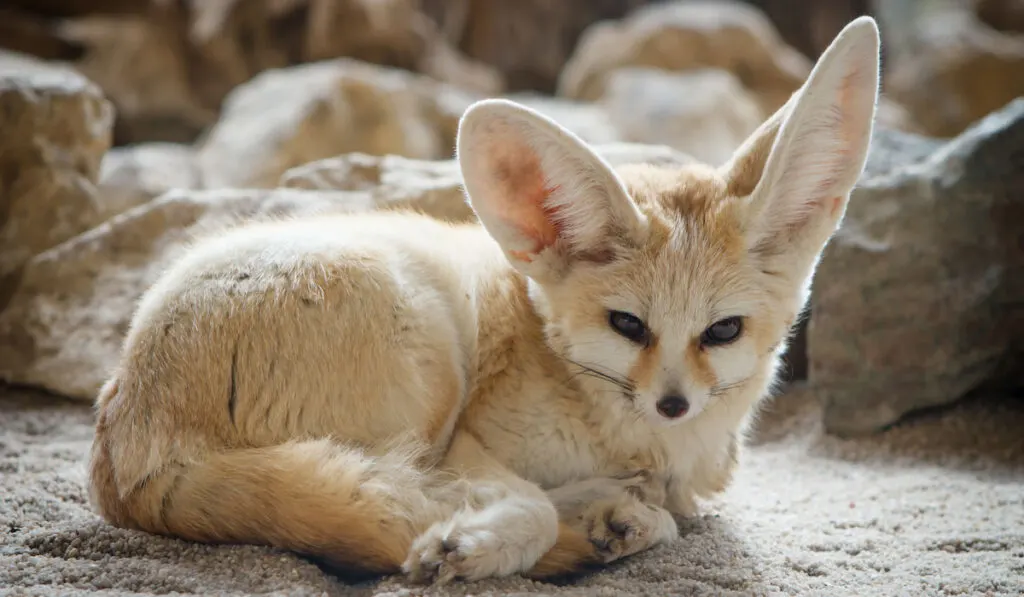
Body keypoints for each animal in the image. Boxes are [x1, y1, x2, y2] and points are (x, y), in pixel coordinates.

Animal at [90, 17, 880, 585]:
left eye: (722, 331)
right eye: (628, 324)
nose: (674, 404)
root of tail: (128, 456)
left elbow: (648, 506)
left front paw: (618, 516)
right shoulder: (466, 441)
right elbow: (527, 502)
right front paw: (480, 542)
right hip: (430, 361)